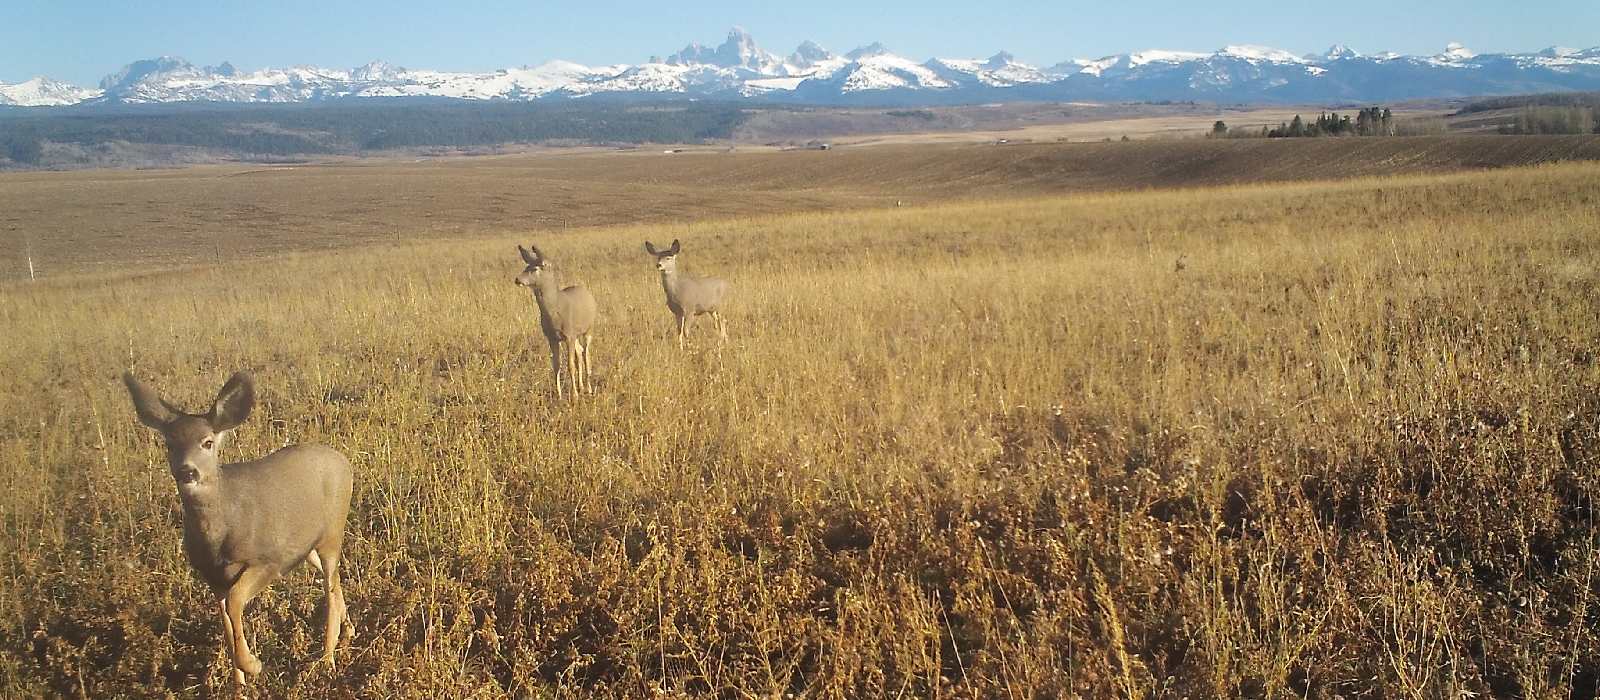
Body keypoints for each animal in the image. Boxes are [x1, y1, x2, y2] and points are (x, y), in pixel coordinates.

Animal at [119, 372, 356, 684]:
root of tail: (344, 461)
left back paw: (326, 659)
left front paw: (253, 664)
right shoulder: (212, 578)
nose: (187, 471)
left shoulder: (267, 560)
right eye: (169, 443)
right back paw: (347, 632)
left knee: (329, 586)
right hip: (307, 546)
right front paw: (238, 684)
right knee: (335, 579)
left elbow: (234, 603)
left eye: (207, 442)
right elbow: (226, 626)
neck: (220, 533)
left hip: (332, 532)